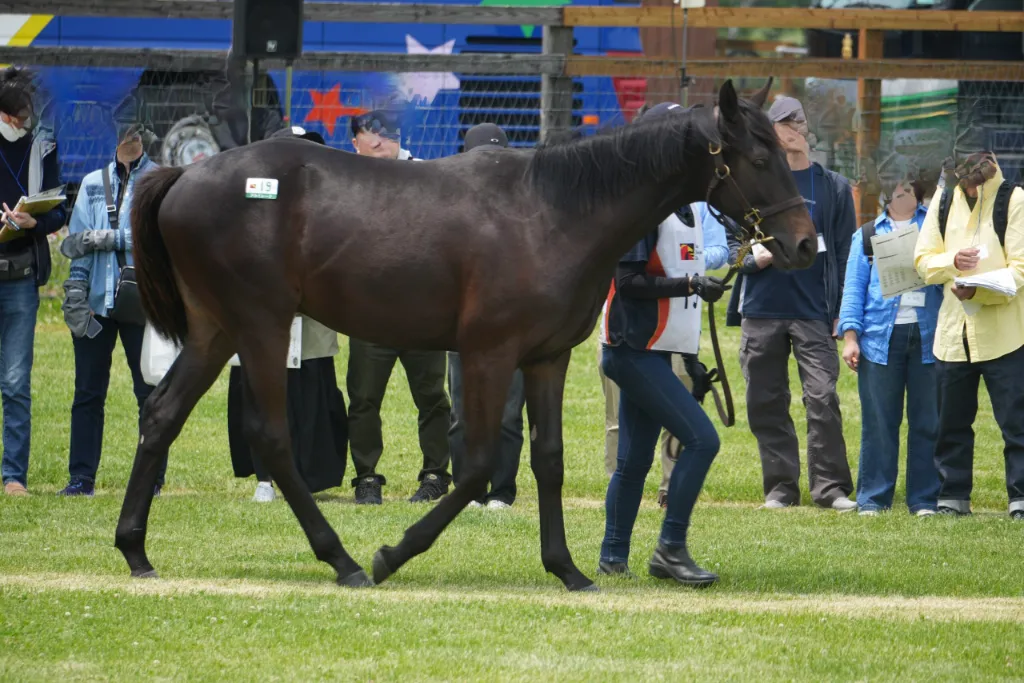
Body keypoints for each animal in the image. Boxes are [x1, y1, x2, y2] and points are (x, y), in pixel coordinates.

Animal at [118, 78, 816, 592]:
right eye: (759, 158)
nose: (804, 245)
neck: (553, 210)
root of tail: (184, 176)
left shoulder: (545, 358)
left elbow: (549, 460)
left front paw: (568, 569)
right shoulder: (487, 354)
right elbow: (477, 467)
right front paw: (394, 554)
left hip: (215, 331)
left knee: (161, 413)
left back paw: (135, 550)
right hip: (260, 325)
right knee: (270, 437)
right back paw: (344, 561)